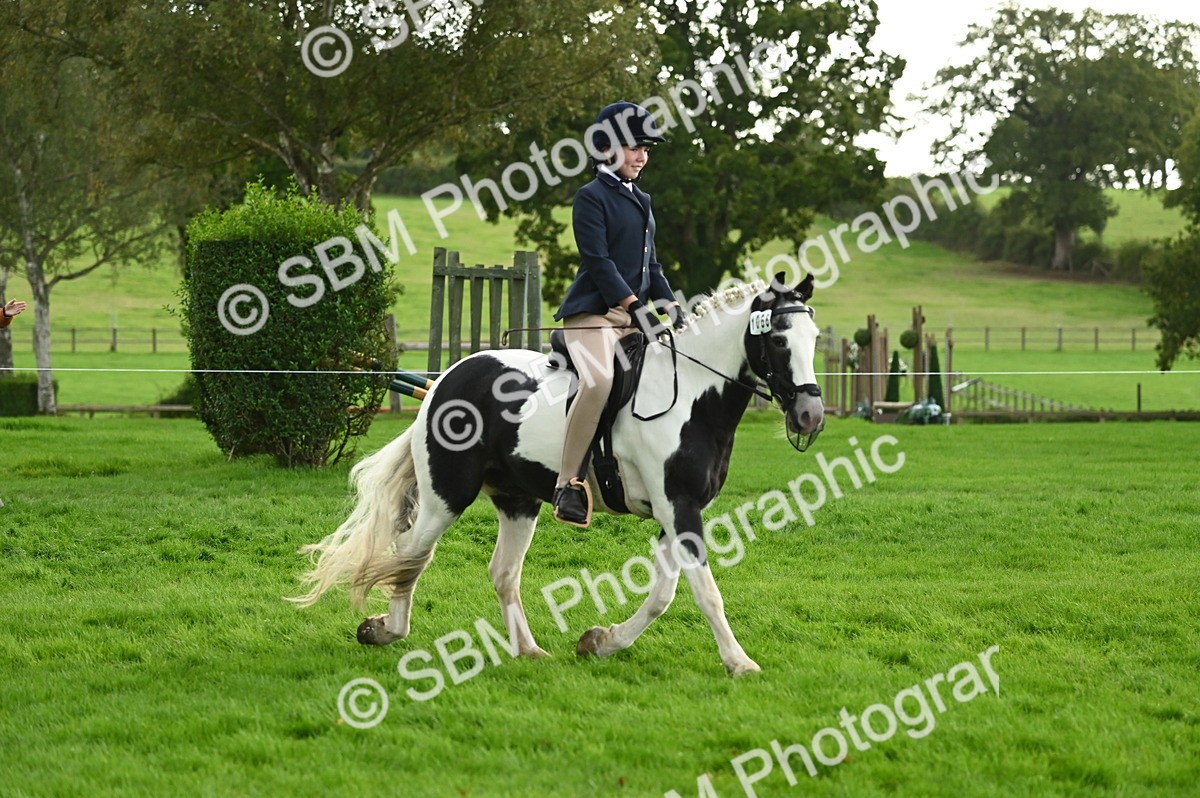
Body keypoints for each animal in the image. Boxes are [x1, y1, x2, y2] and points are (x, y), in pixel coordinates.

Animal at [292, 274, 825, 675]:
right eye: (778, 339)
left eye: (814, 340)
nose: (810, 417)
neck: (693, 394)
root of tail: (444, 380)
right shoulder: (678, 508)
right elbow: (703, 592)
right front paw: (739, 662)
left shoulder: (674, 514)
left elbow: (663, 594)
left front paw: (602, 641)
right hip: (447, 495)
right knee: (411, 554)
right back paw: (386, 630)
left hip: (517, 500)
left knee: (502, 571)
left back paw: (528, 650)